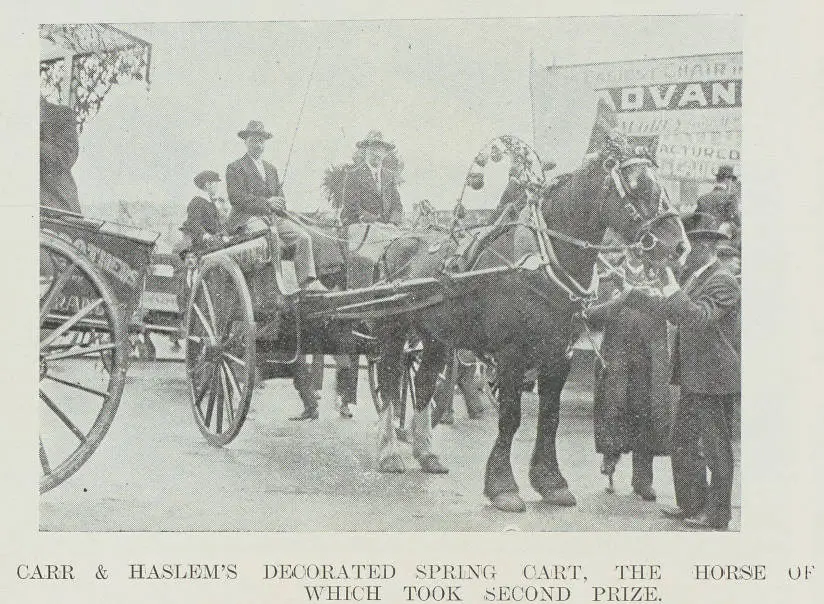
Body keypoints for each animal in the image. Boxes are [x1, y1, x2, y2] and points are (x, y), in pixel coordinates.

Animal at [370, 140, 684, 510]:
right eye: (637, 186)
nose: (678, 246)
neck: (541, 260)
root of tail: (395, 243)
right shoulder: (511, 354)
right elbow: (510, 416)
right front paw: (503, 486)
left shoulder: (559, 355)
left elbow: (550, 416)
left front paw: (551, 482)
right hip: (393, 330)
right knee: (390, 383)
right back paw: (389, 453)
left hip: (436, 336)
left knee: (423, 383)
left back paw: (426, 453)